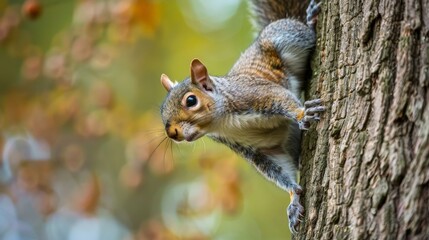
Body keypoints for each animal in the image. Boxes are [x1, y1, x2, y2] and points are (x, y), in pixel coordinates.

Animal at [159, 0, 322, 233]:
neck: (223, 123)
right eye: (161, 110)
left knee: (306, 33)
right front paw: (294, 199)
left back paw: (310, 20)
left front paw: (303, 113)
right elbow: (278, 169)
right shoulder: (257, 150)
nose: (172, 132)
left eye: (190, 101)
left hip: (285, 37)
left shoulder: (257, 94)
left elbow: (283, 98)